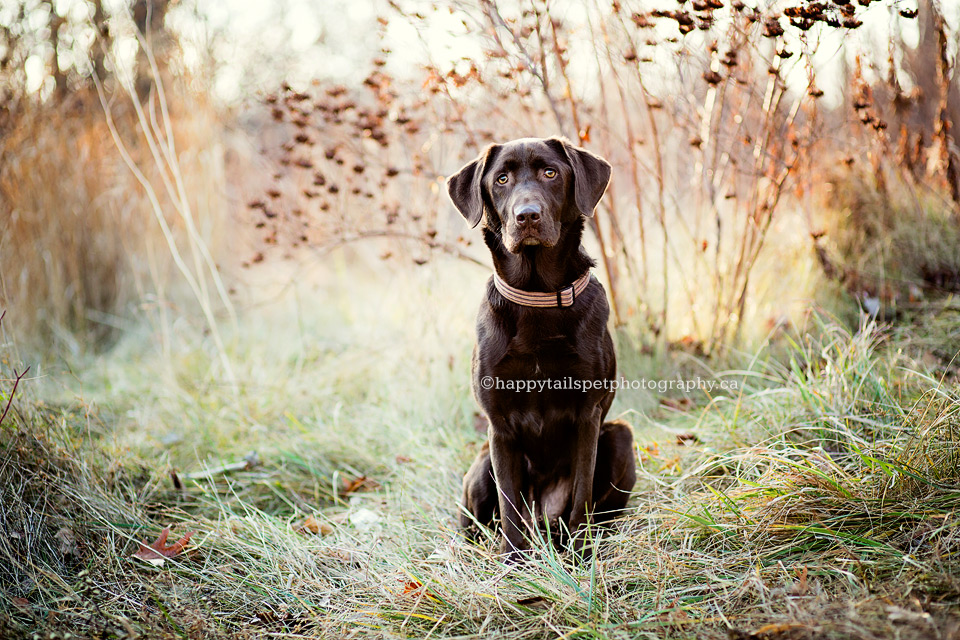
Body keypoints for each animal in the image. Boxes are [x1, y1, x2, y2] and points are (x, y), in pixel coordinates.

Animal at [450, 136, 636, 560]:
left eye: (550, 172)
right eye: (501, 179)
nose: (527, 216)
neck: (537, 298)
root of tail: (542, 519)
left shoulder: (588, 415)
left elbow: (581, 494)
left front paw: (580, 557)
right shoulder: (499, 426)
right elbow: (508, 505)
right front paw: (511, 563)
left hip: (620, 437)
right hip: (481, 464)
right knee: (482, 523)